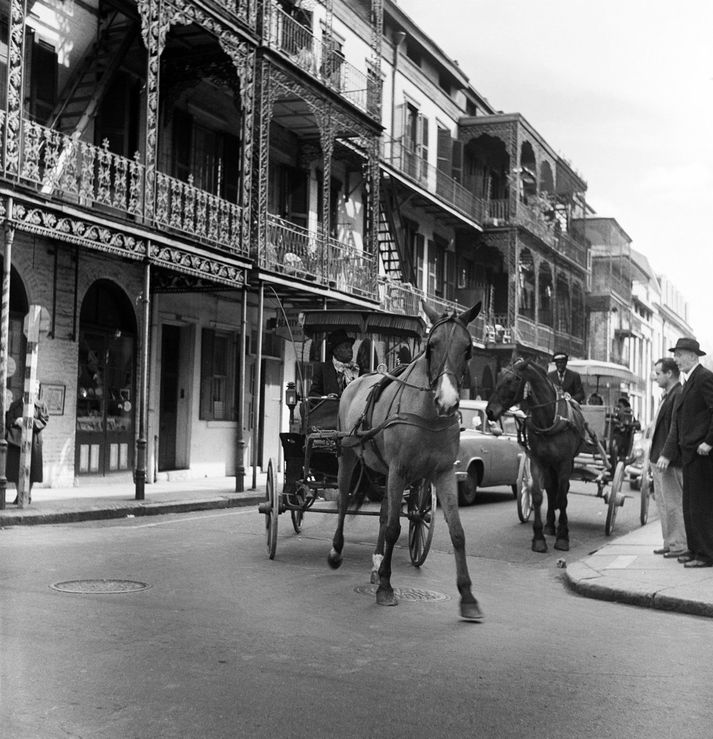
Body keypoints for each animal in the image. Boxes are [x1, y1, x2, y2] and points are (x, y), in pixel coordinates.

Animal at [328, 304, 484, 620]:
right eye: (431, 346)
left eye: (468, 349)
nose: (447, 401)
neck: (428, 414)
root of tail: (358, 379)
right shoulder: (399, 471)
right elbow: (393, 528)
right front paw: (386, 588)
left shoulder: (442, 473)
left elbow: (457, 532)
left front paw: (467, 595)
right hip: (348, 455)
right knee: (343, 500)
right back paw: (338, 551)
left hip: (386, 471)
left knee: (384, 511)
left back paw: (377, 563)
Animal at [484, 358, 584, 556]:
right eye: (498, 377)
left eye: (511, 380)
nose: (489, 411)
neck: (549, 420)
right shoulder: (538, 461)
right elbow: (537, 495)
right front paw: (539, 539)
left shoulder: (564, 463)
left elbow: (563, 498)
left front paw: (563, 537)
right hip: (549, 465)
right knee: (551, 490)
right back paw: (550, 525)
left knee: (560, 493)